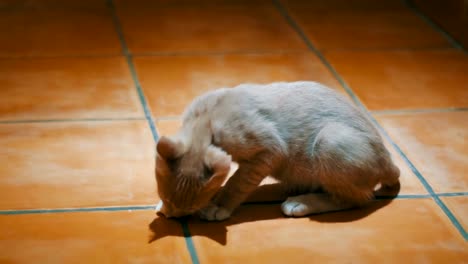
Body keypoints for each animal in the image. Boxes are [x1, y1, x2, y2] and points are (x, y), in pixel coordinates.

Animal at [155, 82, 400, 221]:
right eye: (166, 198)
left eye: (192, 207)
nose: (175, 216)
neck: (207, 119)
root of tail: (388, 160)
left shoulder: (270, 150)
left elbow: (237, 182)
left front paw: (219, 205)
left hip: (329, 141)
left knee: (356, 199)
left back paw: (302, 202)